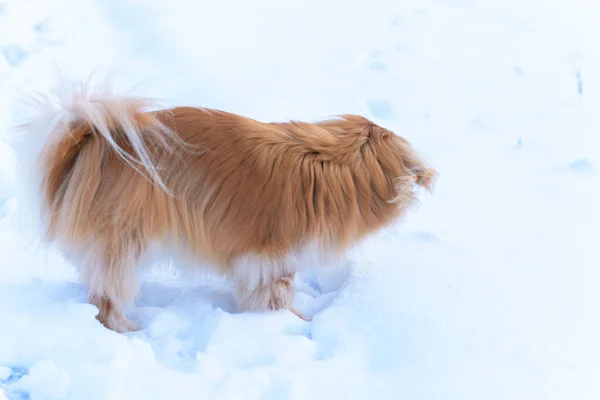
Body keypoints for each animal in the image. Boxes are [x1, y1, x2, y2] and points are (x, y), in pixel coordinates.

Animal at [14, 83, 436, 332]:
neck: (328, 163)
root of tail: (94, 141)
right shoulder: (268, 257)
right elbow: (274, 293)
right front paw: (293, 322)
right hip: (124, 241)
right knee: (106, 298)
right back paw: (124, 327)